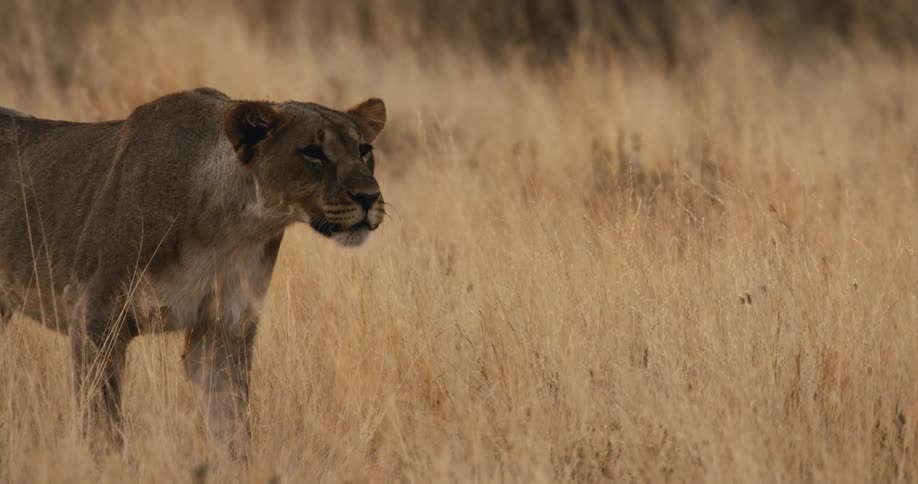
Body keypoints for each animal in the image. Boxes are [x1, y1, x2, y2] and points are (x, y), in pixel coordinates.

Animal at [0, 87, 387, 458]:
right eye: (312, 153)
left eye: (364, 150)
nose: (369, 197)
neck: (231, 229)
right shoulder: (94, 315)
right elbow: (103, 427)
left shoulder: (224, 329)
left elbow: (231, 432)